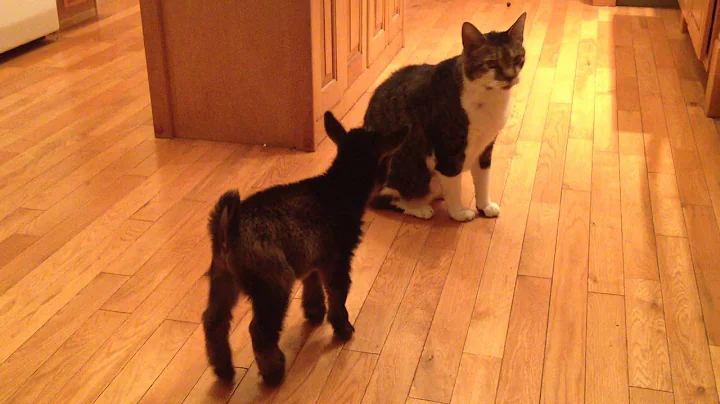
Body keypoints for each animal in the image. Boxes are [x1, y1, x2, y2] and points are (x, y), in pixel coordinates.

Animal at [362, 13, 524, 221]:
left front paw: (485, 206)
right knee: (384, 198)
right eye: (492, 63)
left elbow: (483, 178)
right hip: (407, 158)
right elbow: (453, 183)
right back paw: (420, 208)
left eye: (518, 58)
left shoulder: (486, 147)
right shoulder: (448, 150)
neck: (490, 98)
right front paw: (459, 213)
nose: (511, 76)